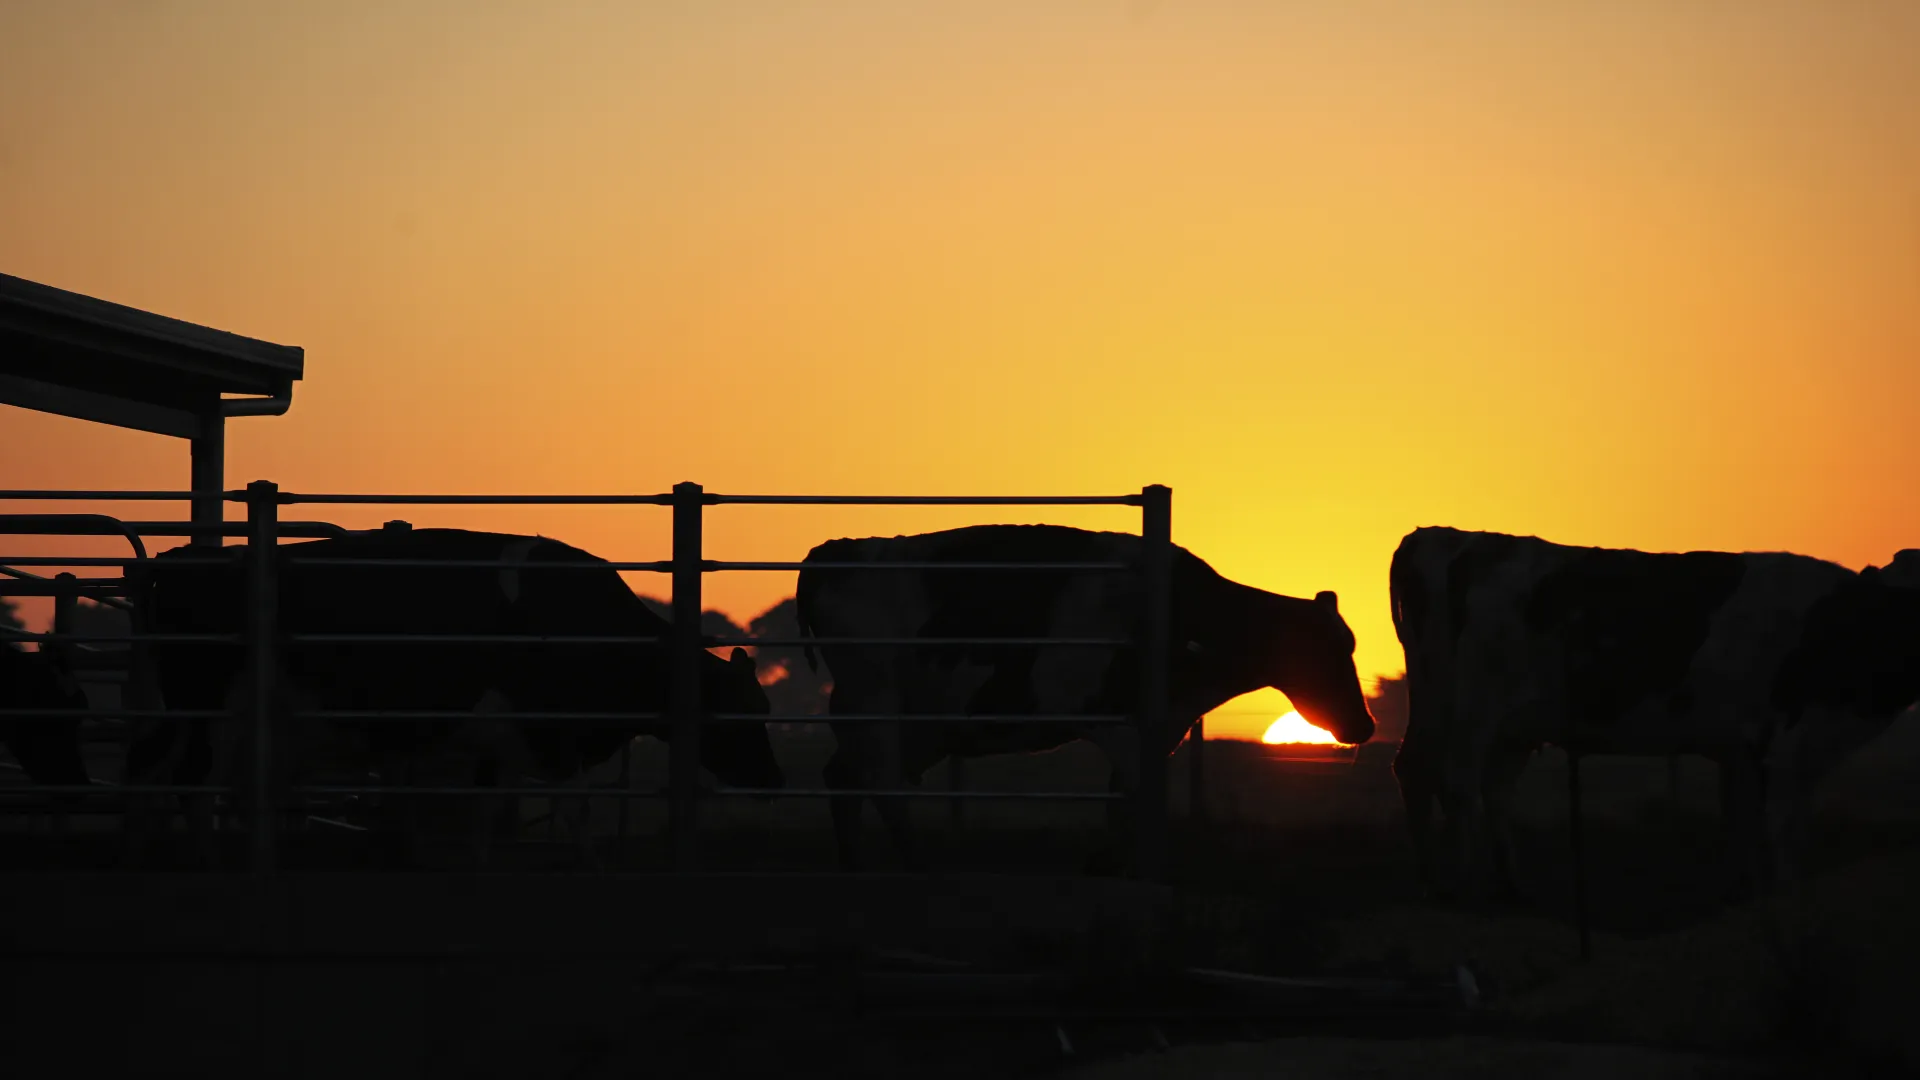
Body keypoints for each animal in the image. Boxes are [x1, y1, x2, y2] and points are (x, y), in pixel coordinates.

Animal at [123, 528, 784, 869]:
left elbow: (488, 810)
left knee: (153, 767)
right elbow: (575, 808)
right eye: (741, 714)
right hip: (208, 705)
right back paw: (204, 859)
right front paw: (589, 862)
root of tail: (187, 555)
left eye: (766, 710)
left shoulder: (502, 739)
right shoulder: (552, 731)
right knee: (190, 779)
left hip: (193, 711)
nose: (774, 782)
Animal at [795, 524, 1376, 873]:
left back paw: (855, 864)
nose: (1364, 726)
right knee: (881, 784)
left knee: (844, 777)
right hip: (876, 703)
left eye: (1350, 648)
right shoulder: (1118, 725)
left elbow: (1120, 805)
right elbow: (1130, 801)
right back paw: (912, 864)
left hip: (899, 722)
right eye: (1325, 653)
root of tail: (841, 548)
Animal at [1388, 525, 1873, 906]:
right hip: (1474, 710)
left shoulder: (1742, 753)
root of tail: (1438, 536)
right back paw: (1466, 890)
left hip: (1481, 716)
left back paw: (1473, 887)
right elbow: (1769, 825)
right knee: (1457, 783)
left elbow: (1742, 818)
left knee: (1442, 775)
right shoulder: (1774, 744)